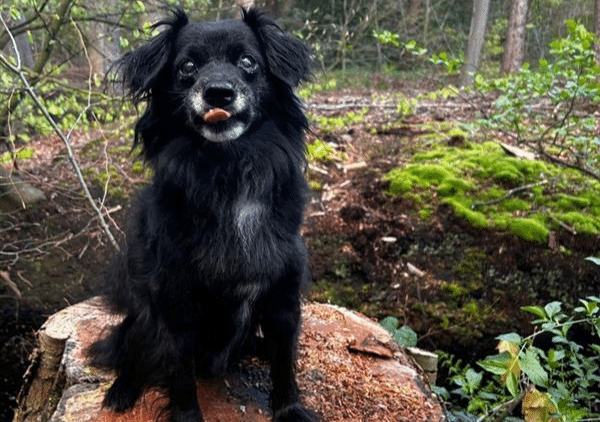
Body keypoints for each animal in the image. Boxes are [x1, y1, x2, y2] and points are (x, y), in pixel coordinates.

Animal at [88, 7, 318, 422]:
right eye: (187, 68)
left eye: (248, 62)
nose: (218, 92)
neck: (227, 171)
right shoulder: (175, 306)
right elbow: (180, 378)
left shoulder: (283, 298)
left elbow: (285, 364)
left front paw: (289, 409)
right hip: (143, 317)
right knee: (133, 348)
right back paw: (122, 389)